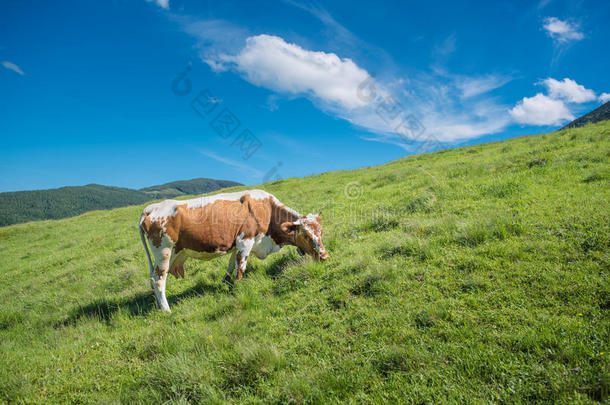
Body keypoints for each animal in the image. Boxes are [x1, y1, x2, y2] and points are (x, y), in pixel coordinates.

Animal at [138, 190, 328, 312]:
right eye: (306, 235)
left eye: (320, 231)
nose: (324, 255)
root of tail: (151, 208)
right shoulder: (245, 241)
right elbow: (241, 267)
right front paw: (237, 288)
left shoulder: (237, 244)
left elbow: (231, 264)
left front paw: (226, 281)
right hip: (163, 252)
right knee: (158, 281)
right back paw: (166, 309)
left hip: (169, 255)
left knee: (152, 278)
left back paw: (158, 306)